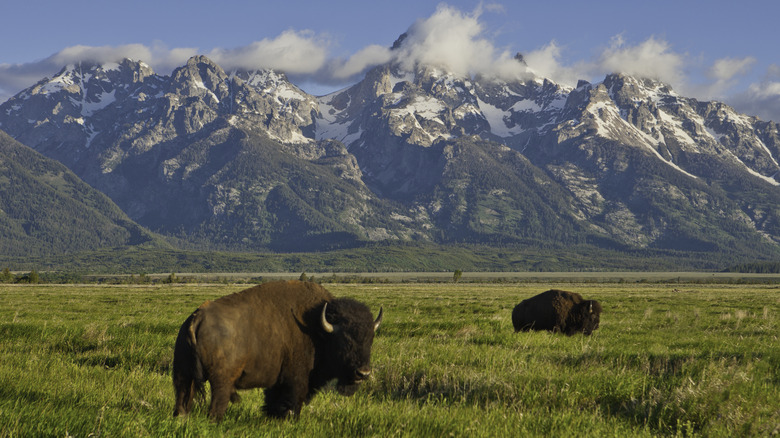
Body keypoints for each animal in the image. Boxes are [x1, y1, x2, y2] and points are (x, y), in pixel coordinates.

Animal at [172, 280, 382, 420]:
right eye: (345, 341)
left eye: (370, 339)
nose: (363, 373)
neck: (318, 328)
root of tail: (197, 317)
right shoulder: (297, 379)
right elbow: (294, 402)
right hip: (221, 381)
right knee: (216, 406)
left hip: (183, 375)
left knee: (182, 401)